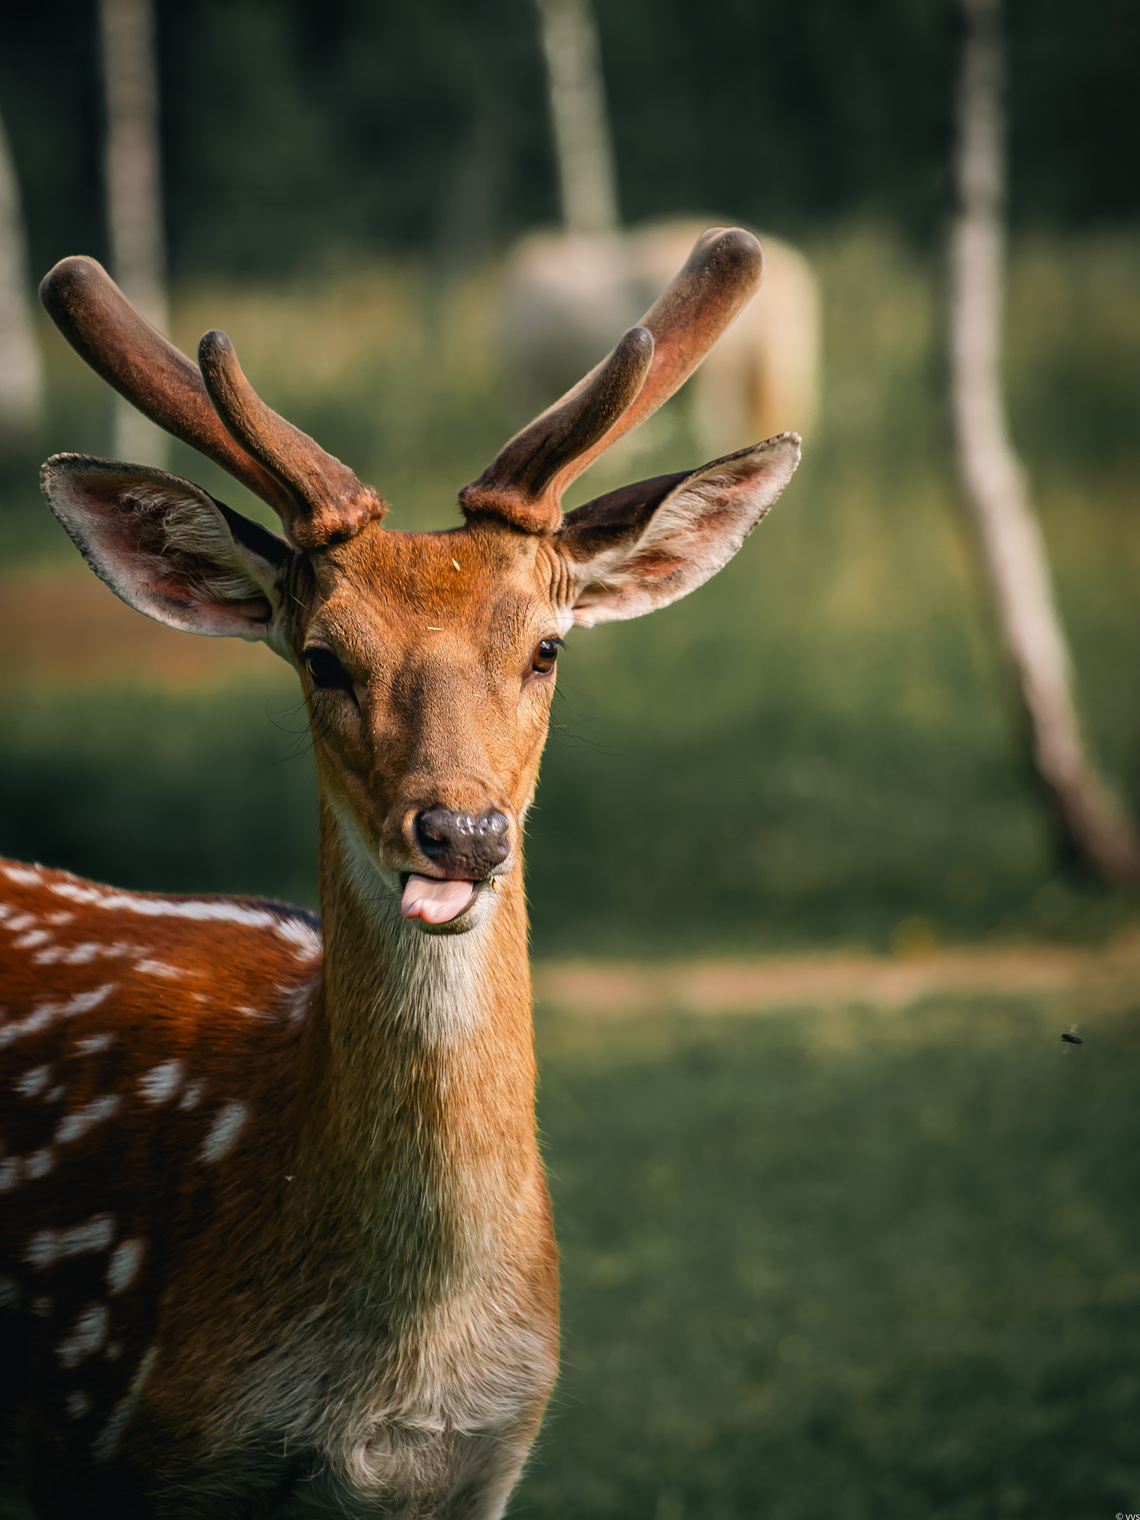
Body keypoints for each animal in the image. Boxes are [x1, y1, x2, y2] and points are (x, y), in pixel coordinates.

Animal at [0, 228, 802, 1520]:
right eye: (324, 657)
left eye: (547, 646)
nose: (461, 831)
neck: (393, 1390)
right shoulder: (135, 1450)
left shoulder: (484, 1465)